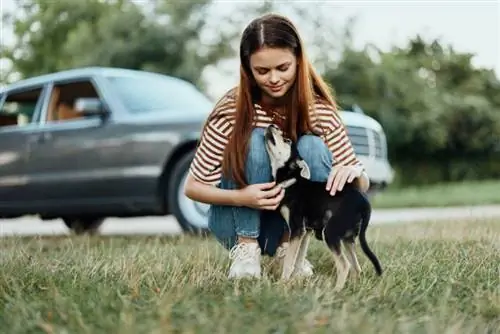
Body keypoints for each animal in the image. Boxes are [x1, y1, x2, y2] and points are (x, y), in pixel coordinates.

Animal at [262, 124, 382, 290]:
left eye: (286, 140)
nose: (272, 125)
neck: (291, 180)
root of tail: (364, 202)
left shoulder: (297, 228)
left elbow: (289, 260)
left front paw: (282, 284)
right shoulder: (305, 232)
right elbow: (298, 259)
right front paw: (295, 281)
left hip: (331, 232)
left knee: (344, 265)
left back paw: (336, 291)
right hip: (347, 237)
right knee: (356, 267)